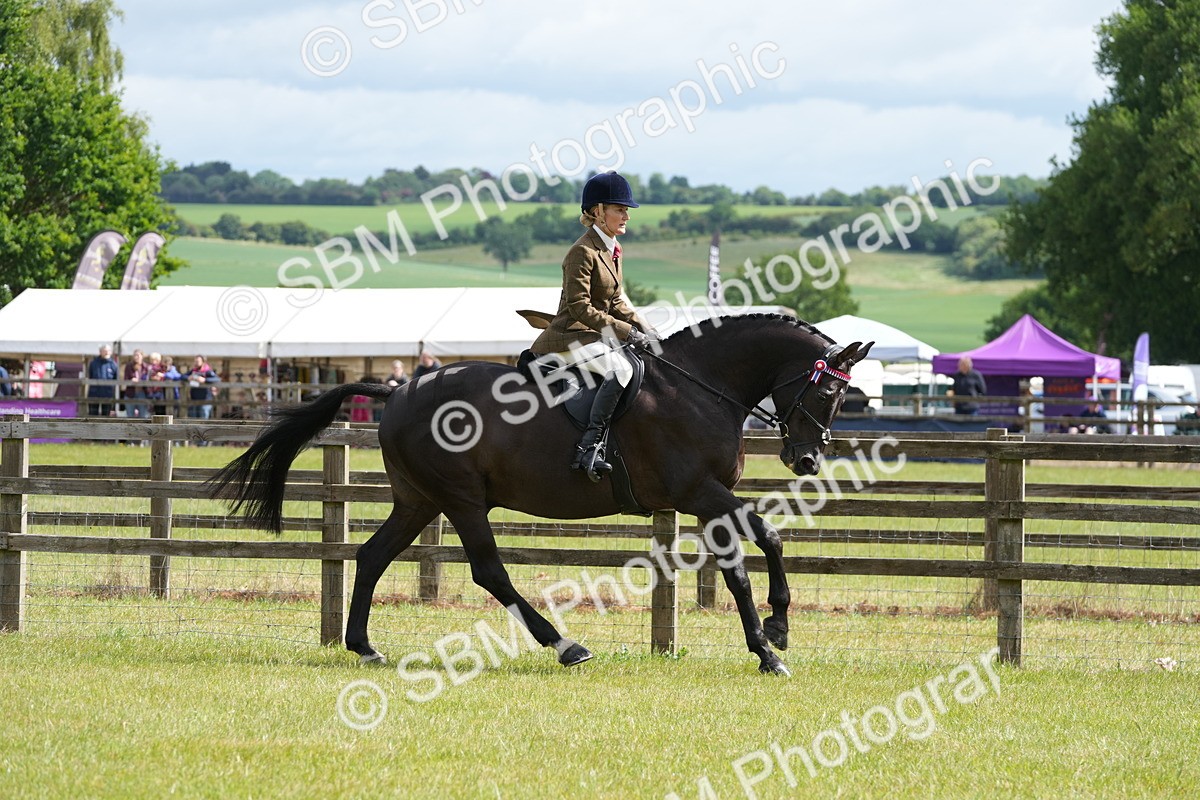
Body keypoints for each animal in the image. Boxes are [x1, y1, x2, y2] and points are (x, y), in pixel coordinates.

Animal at [210, 314, 873, 675]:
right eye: (827, 392)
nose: (806, 459)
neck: (700, 387)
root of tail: (399, 388)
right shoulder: (699, 492)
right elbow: (760, 543)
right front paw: (772, 642)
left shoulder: (708, 499)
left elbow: (753, 552)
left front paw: (773, 634)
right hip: (461, 498)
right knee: (488, 571)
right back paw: (565, 645)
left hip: (419, 499)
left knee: (373, 556)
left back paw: (364, 647)